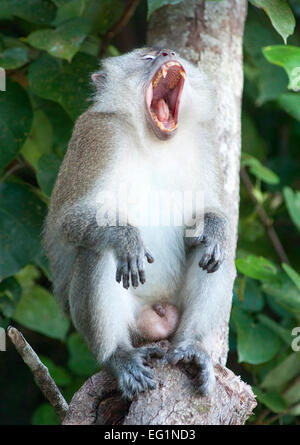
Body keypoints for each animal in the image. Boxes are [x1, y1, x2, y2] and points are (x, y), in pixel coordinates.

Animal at [43, 47, 229, 398]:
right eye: (147, 58)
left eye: (168, 52)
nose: (167, 52)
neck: (154, 139)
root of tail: (156, 314)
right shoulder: (96, 134)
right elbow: (66, 220)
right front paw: (126, 238)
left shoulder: (205, 142)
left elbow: (212, 213)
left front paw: (215, 227)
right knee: (97, 251)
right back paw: (118, 357)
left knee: (215, 254)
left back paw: (192, 345)